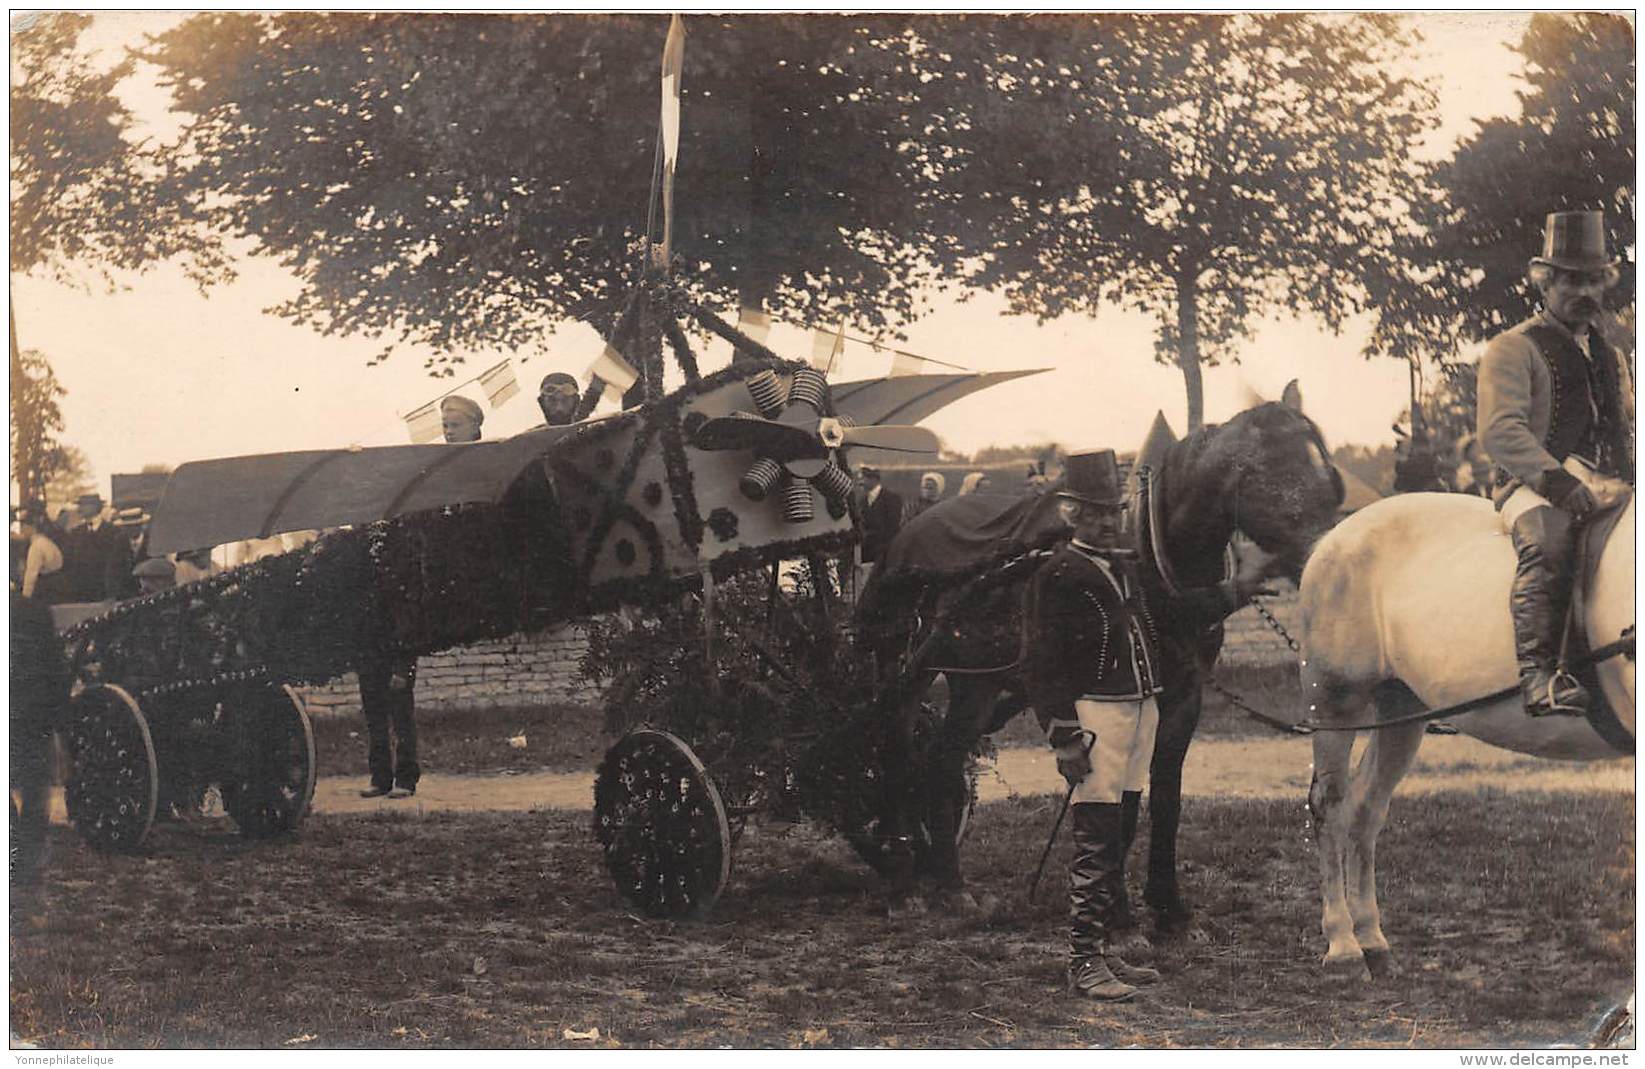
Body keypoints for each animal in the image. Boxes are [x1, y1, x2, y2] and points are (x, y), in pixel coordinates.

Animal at [855, 394, 1342, 927]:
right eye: (1274, 477)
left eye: (1329, 478)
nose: (1332, 560)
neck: (1152, 554)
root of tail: (909, 535)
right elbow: (1116, 801)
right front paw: (1116, 906)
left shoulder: (1182, 695)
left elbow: (1163, 795)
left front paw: (1166, 905)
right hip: (910, 668)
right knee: (897, 747)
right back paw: (905, 876)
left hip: (976, 682)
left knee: (941, 756)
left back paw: (944, 877)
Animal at [1296, 490, 1631, 973]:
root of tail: (1334, 537)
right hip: (1336, 706)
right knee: (1330, 807)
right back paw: (1343, 944)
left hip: (1401, 710)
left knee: (1365, 808)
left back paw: (1372, 938)